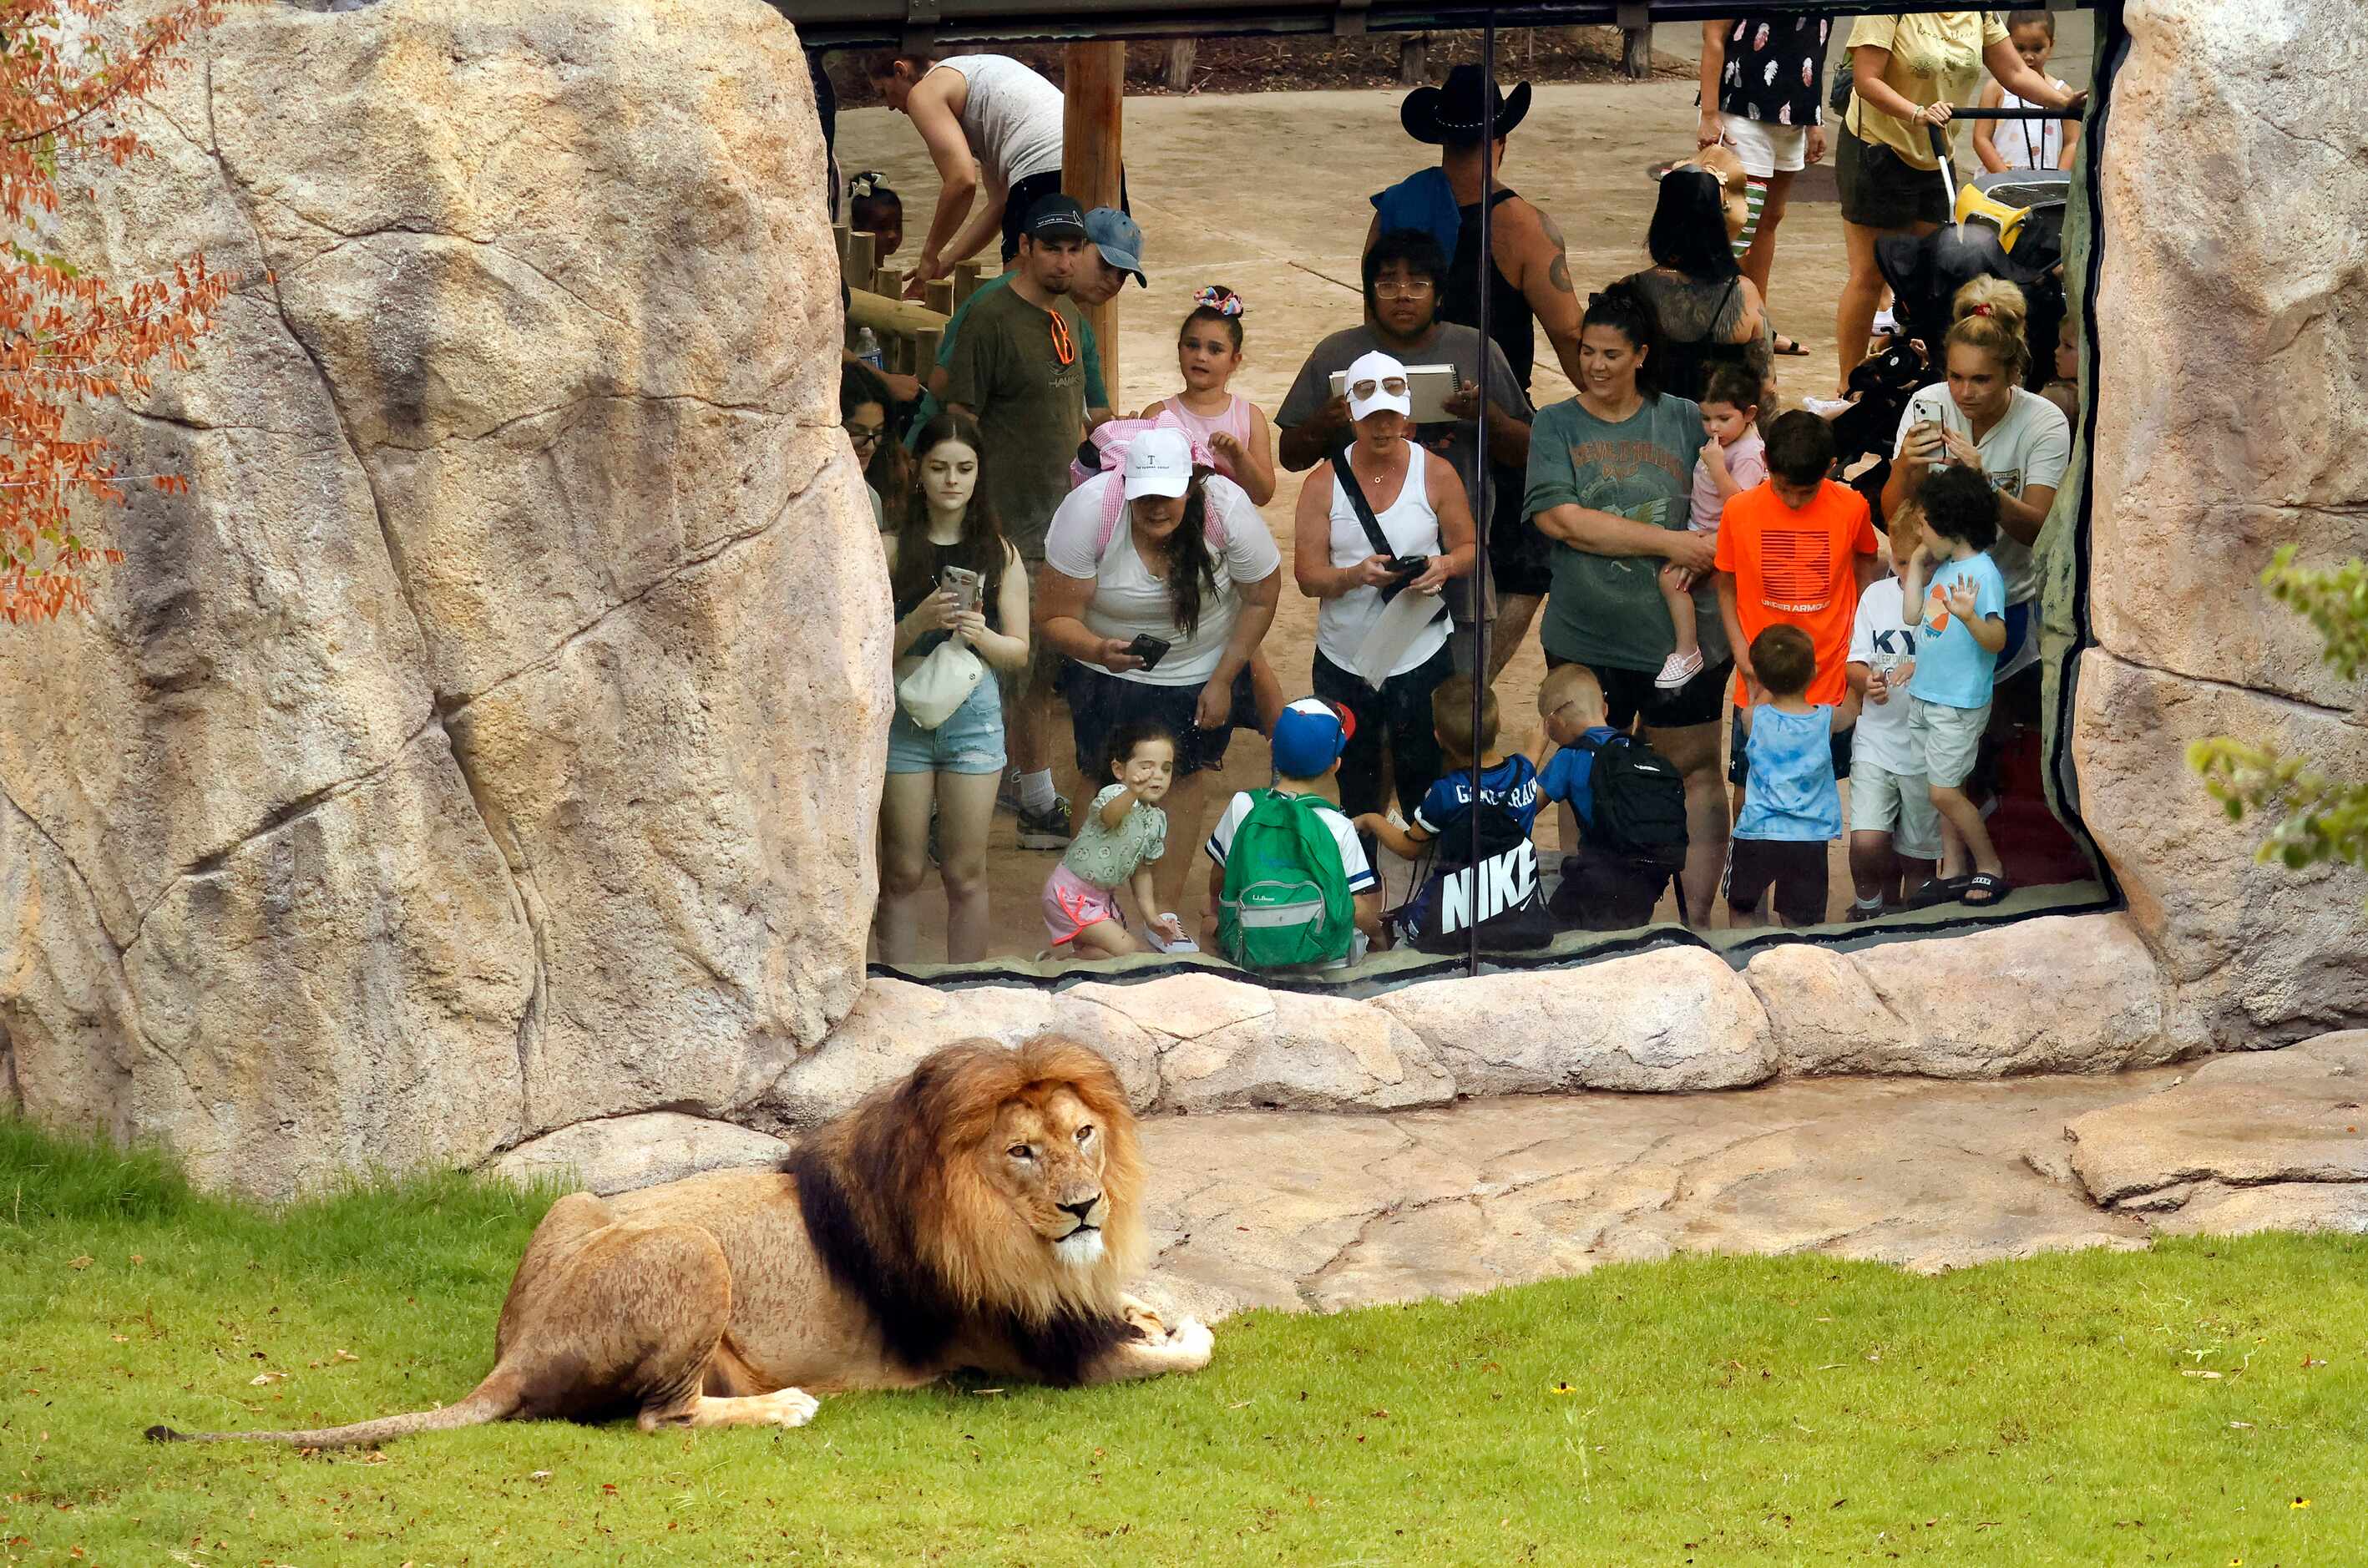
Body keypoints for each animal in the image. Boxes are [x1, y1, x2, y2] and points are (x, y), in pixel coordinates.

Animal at [148, 1037, 1212, 1459]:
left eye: (1084, 1134)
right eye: (1021, 1150)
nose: (1084, 1207)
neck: (1002, 1229)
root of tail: (517, 1353)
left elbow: (1136, 1304)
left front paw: (1151, 1303)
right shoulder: (1043, 1355)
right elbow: (1181, 1355)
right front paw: (1178, 1330)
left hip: (574, 1206)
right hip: (697, 1250)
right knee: (664, 1419)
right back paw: (783, 1406)